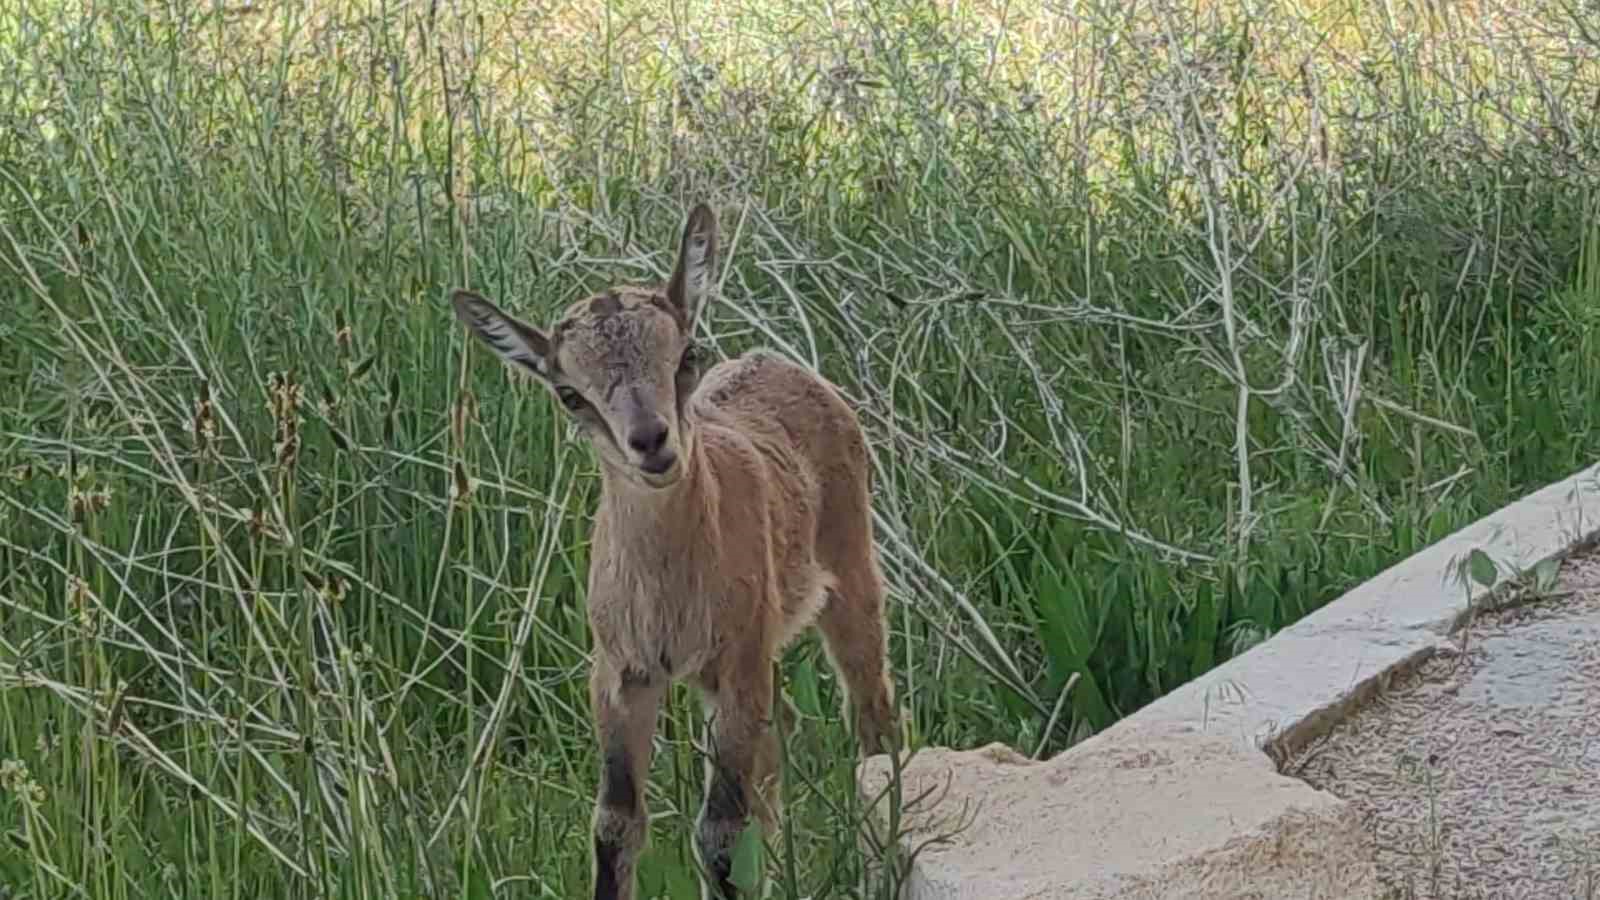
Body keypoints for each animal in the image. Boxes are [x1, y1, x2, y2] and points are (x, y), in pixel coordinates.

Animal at [451, 203, 902, 896]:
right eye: (570, 393)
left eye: (686, 354)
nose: (650, 441)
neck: (670, 593)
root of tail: (782, 364)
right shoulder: (621, 673)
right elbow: (615, 823)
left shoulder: (738, 661)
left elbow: (718, 833)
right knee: (783, 734)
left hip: (850, 576)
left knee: (873, 717)